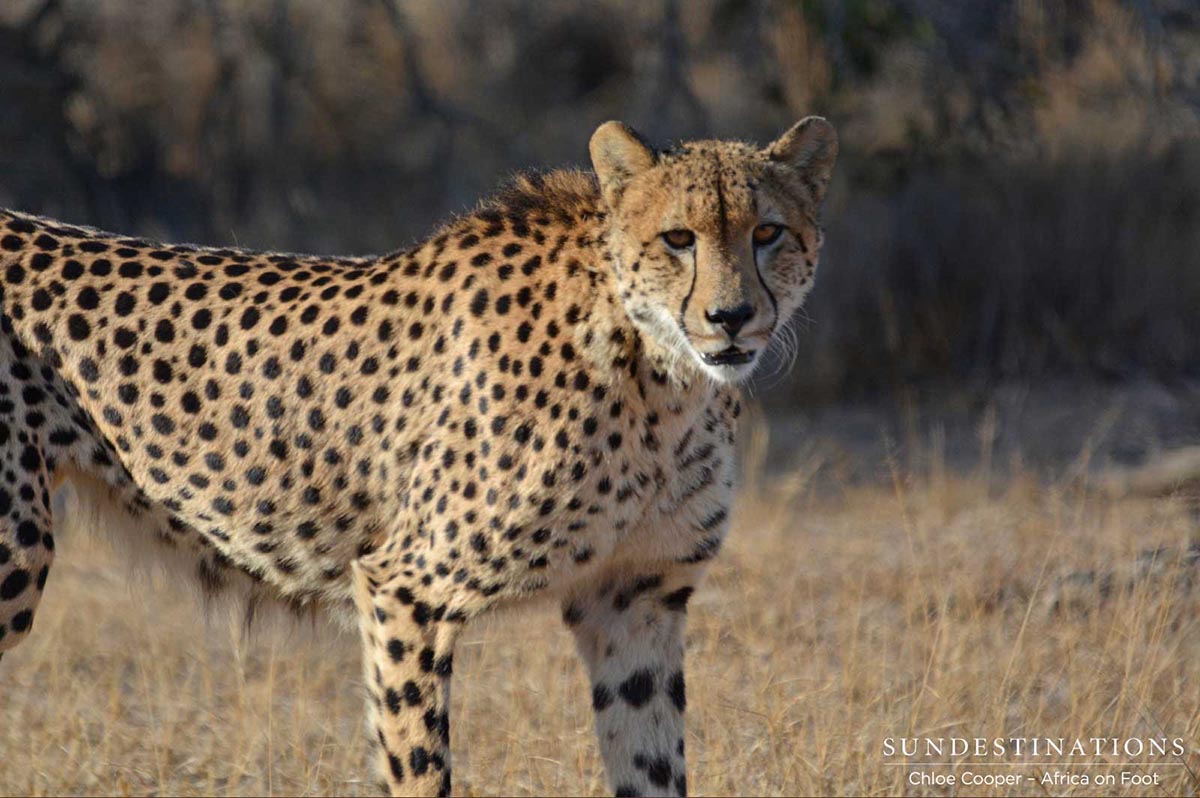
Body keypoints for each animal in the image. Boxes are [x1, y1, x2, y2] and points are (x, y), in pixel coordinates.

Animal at [0, 117, 837, 797]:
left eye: (767, 233)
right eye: (678, 238)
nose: (731, 316)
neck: (655, 366)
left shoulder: (636, 595)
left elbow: (652, 764)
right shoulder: (404, 586)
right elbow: (417, 763)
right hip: (16, 551)